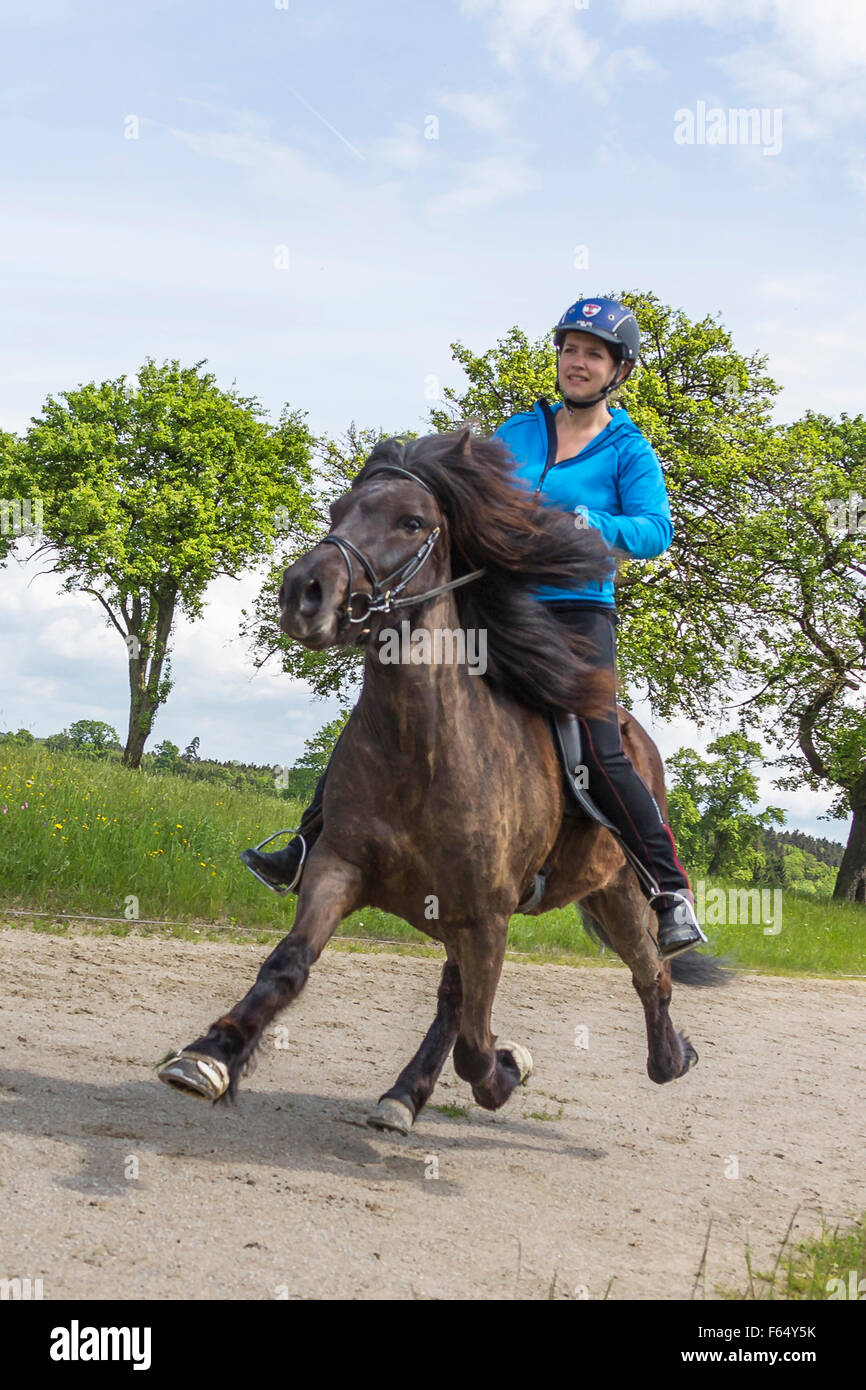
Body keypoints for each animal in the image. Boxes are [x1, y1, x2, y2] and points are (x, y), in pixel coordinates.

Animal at [159, 425, 722, 1128]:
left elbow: (477, 1044)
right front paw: (210, 1055)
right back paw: (404, 1094)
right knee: (457, 1002)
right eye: (337, 512)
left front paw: (507, 1072)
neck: (420, 753)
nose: (302, 593)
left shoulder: (486, 920)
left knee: (651, 975)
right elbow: (288, 965)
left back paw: (672, 1054)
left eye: (411, 522)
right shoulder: (339, 868)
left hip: (614, 895)